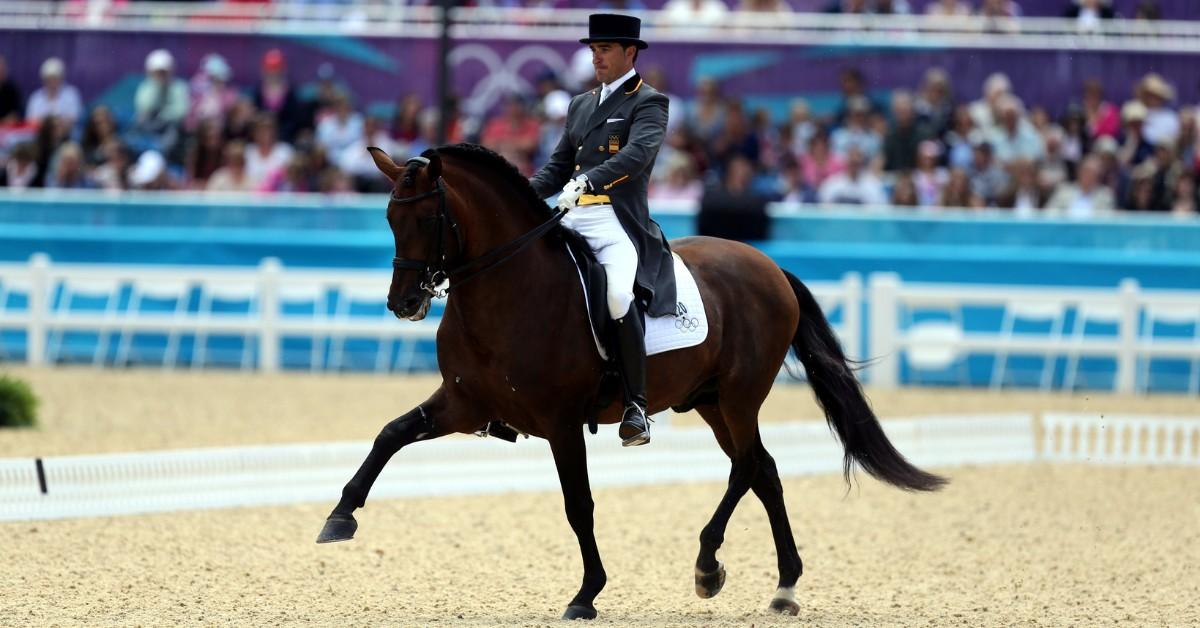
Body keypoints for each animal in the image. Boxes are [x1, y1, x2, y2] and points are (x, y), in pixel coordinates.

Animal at [319, 145, 945, 619]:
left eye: (428, 220)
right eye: (389, 219)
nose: (404, 303)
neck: (509, 290)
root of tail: (767, 264)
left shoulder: (560, 422)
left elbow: (579, 505)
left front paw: (586, 594)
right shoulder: (463, 403)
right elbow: (390, 433)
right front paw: (339, 517)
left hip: (740, 396)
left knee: (747, 467)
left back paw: (714, 568)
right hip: (709, 401)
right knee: (762, 470)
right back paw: (777, 585)